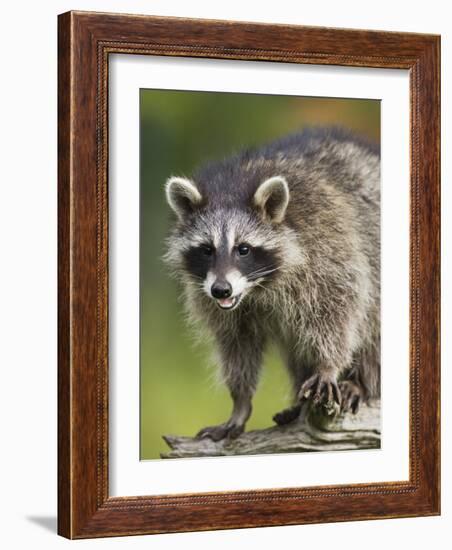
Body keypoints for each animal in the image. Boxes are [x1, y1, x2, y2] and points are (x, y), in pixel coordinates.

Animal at [164, 127, 380, 442]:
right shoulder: (214, 298)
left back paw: (361, 383)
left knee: (372, 324)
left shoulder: (328, 247)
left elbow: (340, 309)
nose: (221, 290)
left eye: (243, 249)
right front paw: (240, 401)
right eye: (206, 250)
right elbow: (236, 344)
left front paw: (328, 366)